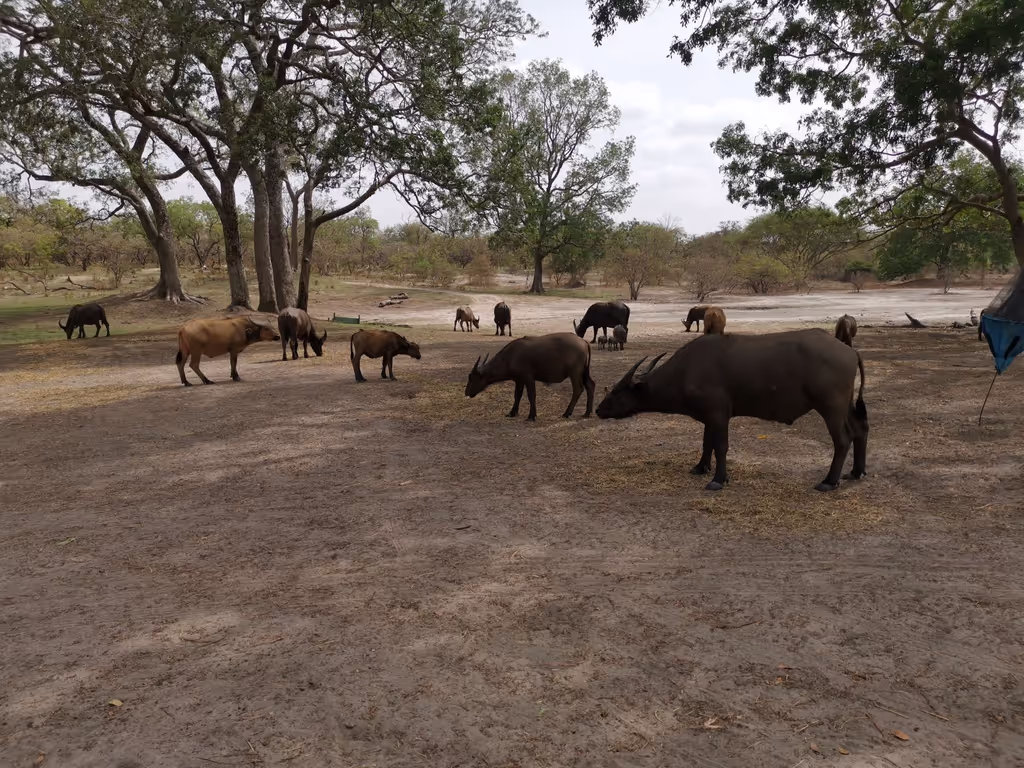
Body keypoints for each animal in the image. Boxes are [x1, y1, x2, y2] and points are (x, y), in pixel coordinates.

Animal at [465, 332, 595, 421]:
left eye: (471, 377)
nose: (466, 392)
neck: (510, 357)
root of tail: (584, 342)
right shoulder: (518, 380)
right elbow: (517, 395)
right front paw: (512, 413)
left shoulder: (528, 378)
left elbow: (531, 395)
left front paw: (532, 416)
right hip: (584, 372)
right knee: (590, 385)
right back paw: (587, 412)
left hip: (575, 373)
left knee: (578, 389)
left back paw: (567, 413)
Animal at [596, 329, 868, 493]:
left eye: (617, 391)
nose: (599, 409)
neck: (685, 370)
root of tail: (849, 350)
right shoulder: (709, 417)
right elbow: (706, 443)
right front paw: (700, 468)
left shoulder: (718, 415)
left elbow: (720, 446)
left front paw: (718, 479)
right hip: (846, 407)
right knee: (860, 429)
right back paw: (857, 472)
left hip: (831, 408)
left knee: (843, 439)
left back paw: (829, 481)